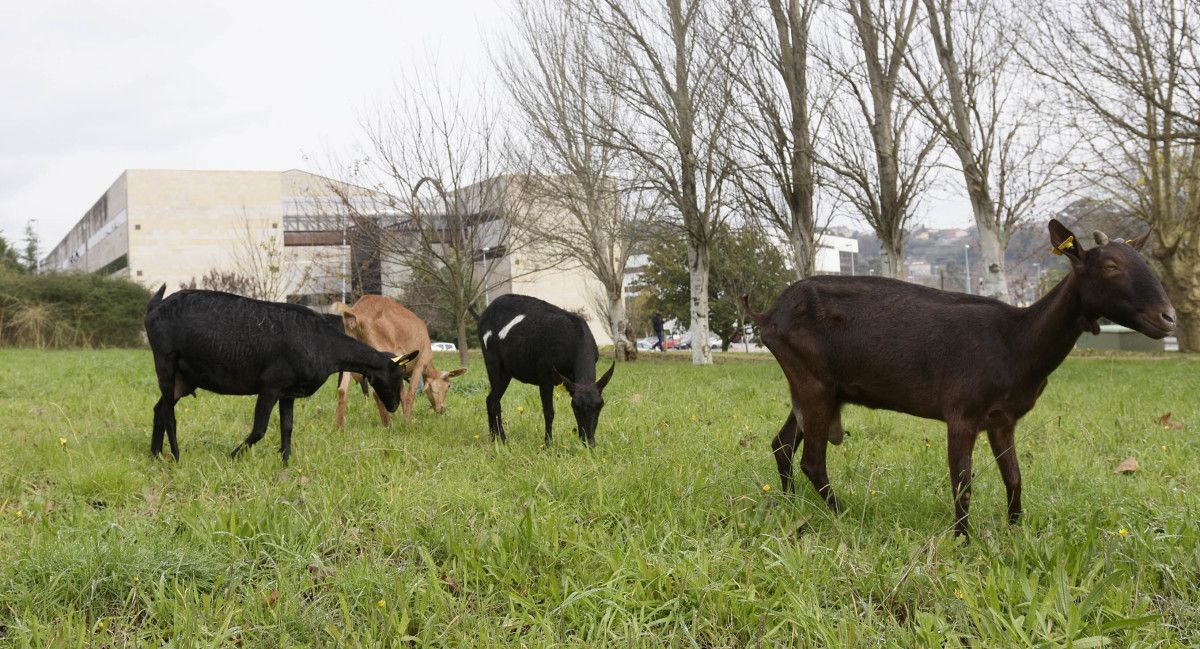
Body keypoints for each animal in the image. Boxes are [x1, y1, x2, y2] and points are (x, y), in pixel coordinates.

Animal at [144, 286, 418, 463]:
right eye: (397, 376)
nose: (394, 406)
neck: (325, 346)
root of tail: (154, 307)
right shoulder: (270, 386)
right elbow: (260, 429)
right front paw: (233, 455)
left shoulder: (289, 393)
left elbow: (287, 427)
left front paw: (285, 462)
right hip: (166, 363)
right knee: (169, 414)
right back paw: (175, 456)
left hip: (184, 379)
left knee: (159, 409)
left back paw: (155, 454)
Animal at [332, 295, 467, 428]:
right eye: (448, 385)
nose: (442, 409)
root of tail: (355, 313)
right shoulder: (420, 363)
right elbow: (410, 394)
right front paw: (407, 423)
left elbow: (402, 394)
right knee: (376, 393)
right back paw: (387, 425)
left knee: (342, 390)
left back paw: (340, 427)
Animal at [477, 294, 615, 447]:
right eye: (575, 407)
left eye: (600, 406)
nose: (589, 443)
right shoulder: (544, 375)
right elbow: (549, 412)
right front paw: (548, 444)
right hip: (492, 360)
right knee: (495, 401)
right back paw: (502, 439)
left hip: (506, 371)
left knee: (490, 399)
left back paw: (492, 437)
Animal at [744, 220, 1175, 536]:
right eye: (1111, 265)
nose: (1168, 317)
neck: (1014, 341)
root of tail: (768, 315)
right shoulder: (961, 413)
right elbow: (963, 483)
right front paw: (961, 540)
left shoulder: (1002, 420)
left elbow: (1014, 478)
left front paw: (1015, 531)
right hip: (812, 382)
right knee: (812, 461)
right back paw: (843, 516)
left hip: (820, 388)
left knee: (782, 444)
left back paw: (791, 505)